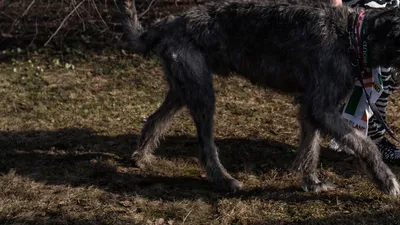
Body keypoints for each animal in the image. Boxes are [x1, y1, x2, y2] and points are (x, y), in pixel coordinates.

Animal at [116, 0, 400, 195]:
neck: (353, 35)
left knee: (155, 119)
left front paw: (312, 182)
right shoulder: (322, 108)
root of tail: (169, 22)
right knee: (206, 146)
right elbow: (365, 144)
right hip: (202, 93)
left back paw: (141, 157)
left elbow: (310, 147)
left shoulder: (311, 108)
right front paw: (387, 180)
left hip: (181, 88)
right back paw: (224, 179)